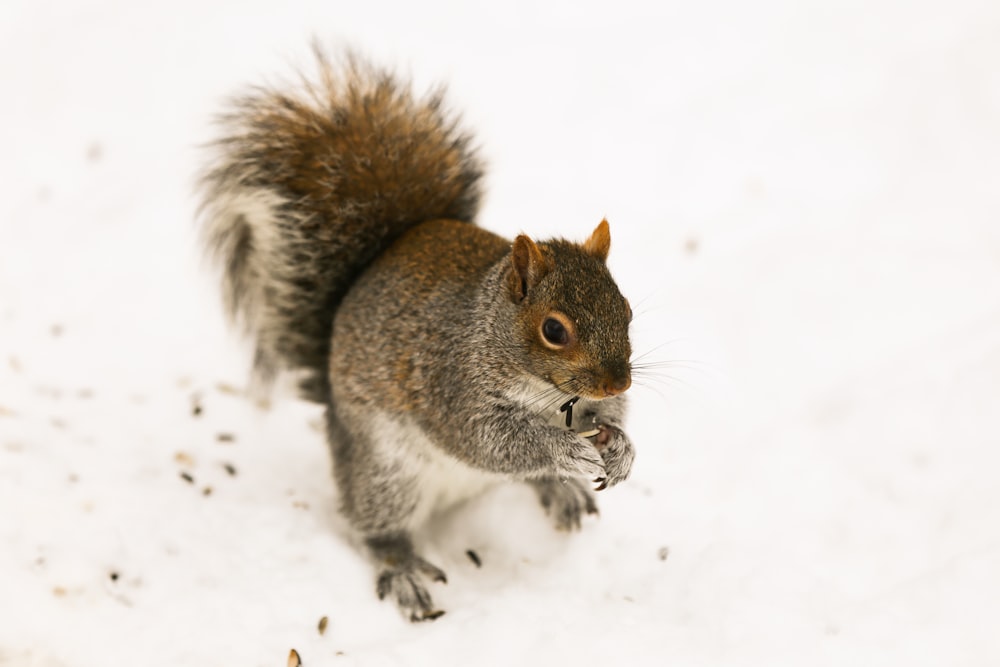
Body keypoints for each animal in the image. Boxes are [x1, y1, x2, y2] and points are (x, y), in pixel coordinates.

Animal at [199, 49, 636, 624]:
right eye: (553, 330)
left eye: (627, 308)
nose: (617, 383)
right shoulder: (452, 387)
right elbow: (493, 440)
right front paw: (567, 451)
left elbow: (602, 424)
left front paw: (621, 446)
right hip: (385, 472)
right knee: (379, 527)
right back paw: (403, 568)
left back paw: (561, 493)